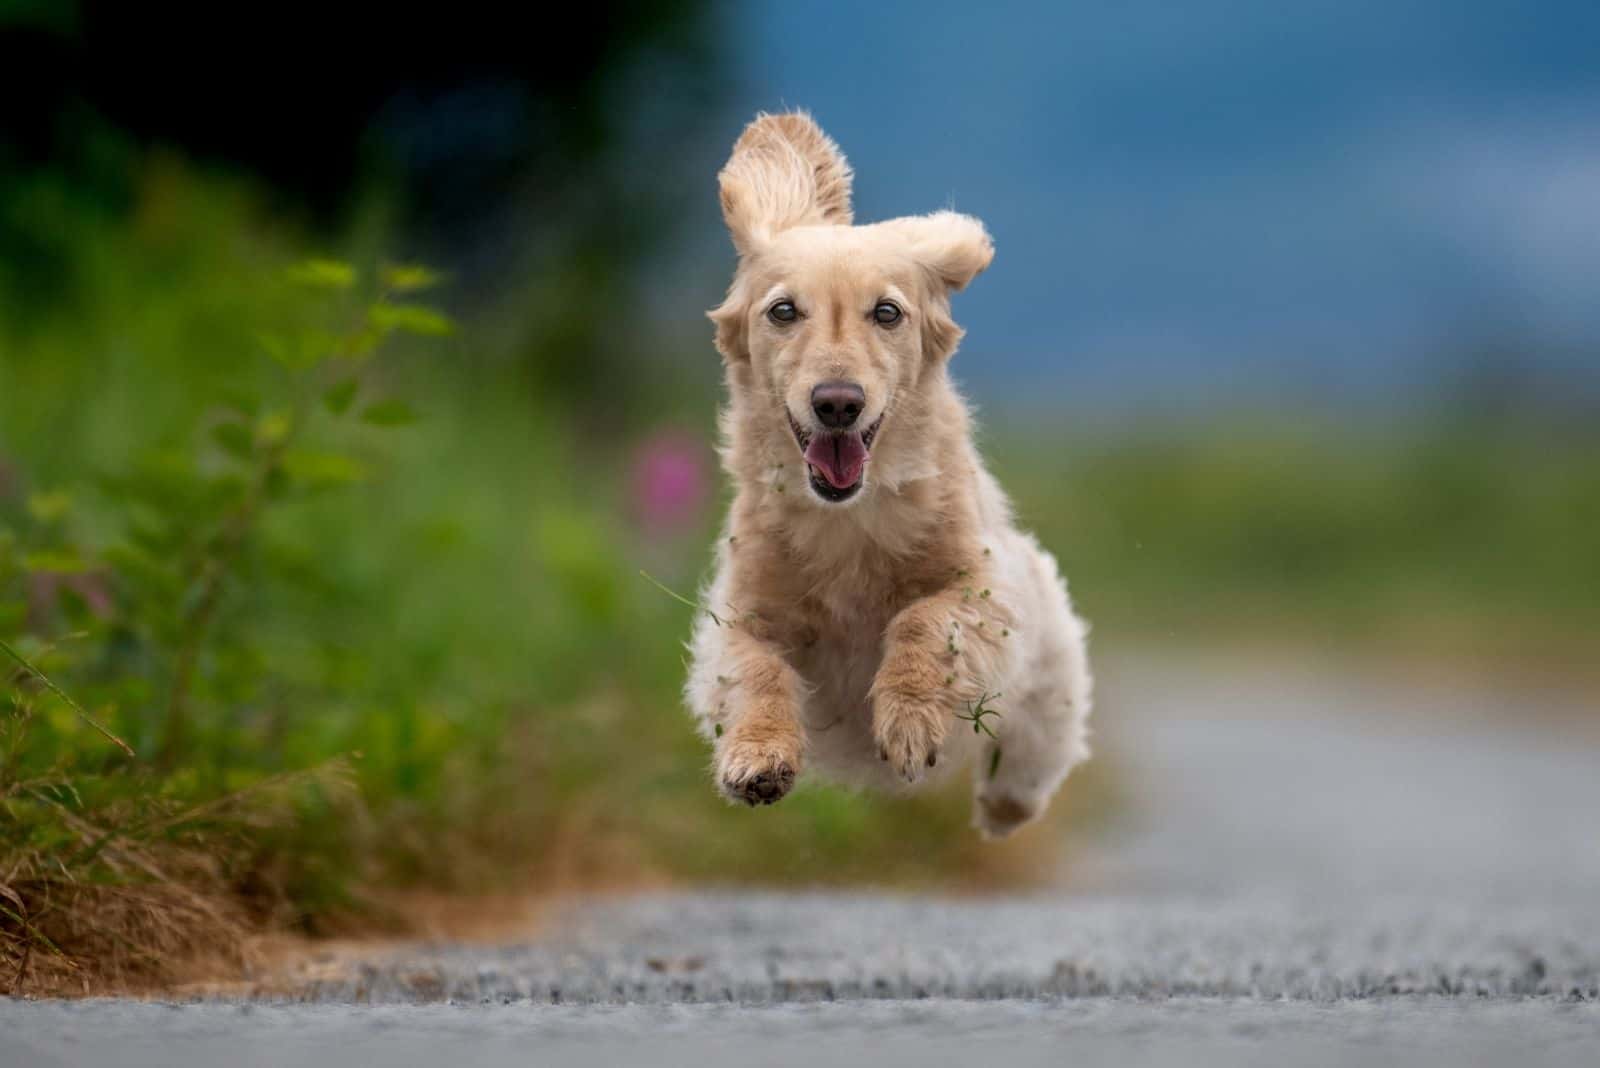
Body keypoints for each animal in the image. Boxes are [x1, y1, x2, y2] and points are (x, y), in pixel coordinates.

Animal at [681, 112, 1094, 837]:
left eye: (887, 312)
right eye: (782, 310)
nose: (838, 402)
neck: (849, 517)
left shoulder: (987, 590)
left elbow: (928, 620)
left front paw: (908, 724)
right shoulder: (738, 612)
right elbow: (751, 668)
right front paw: (756, 758)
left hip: (1051, 663)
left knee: (1033, 750)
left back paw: (1005, 806)